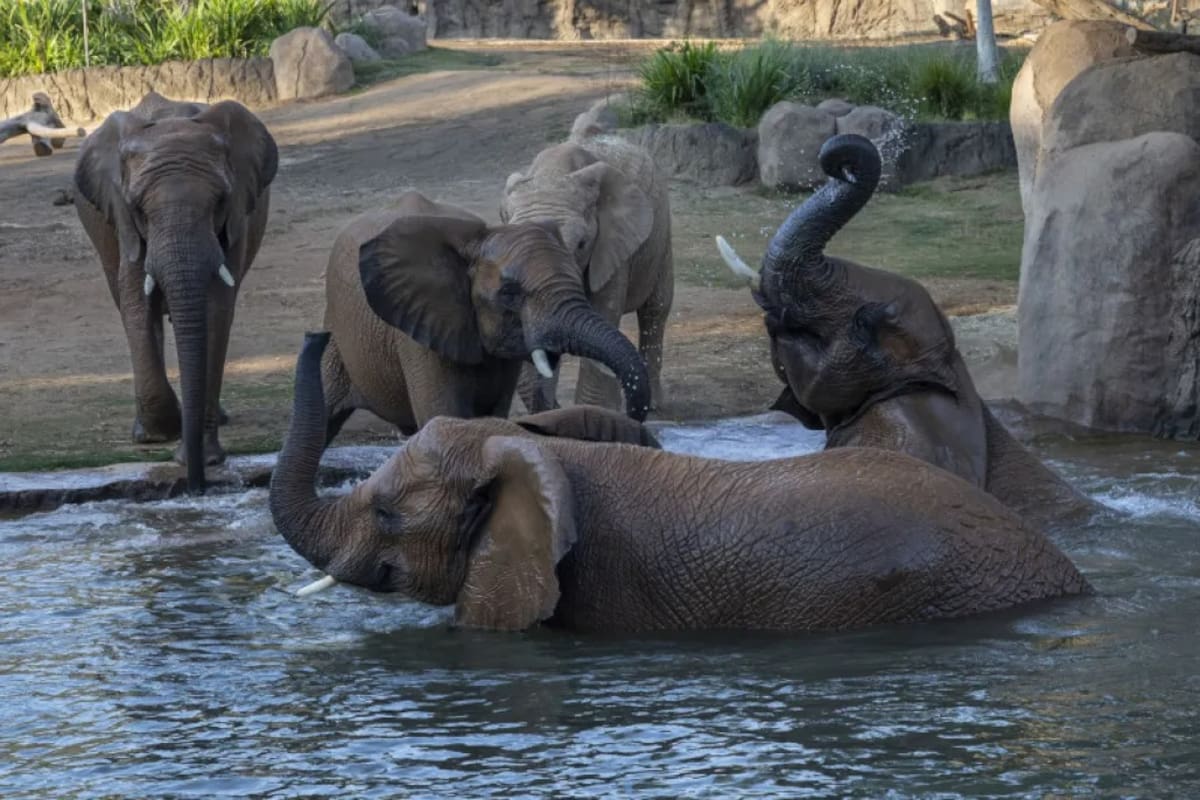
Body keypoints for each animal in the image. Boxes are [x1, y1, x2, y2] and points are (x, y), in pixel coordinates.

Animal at [73, 91, 278, 494]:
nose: (195, 485)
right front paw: (161, 432)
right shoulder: (122, 219)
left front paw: (203, 456)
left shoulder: (236, 218)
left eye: (219, 201)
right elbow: (136, 299)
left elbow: (216, 308)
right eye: (137, 208)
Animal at [501, 134, 673, 414]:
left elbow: (605, 312)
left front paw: (594, 413)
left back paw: (654, 407)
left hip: (662, 233)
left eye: (581, 244)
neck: (553, 173)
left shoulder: (612, 243)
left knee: (656, 308)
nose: (555, 406)